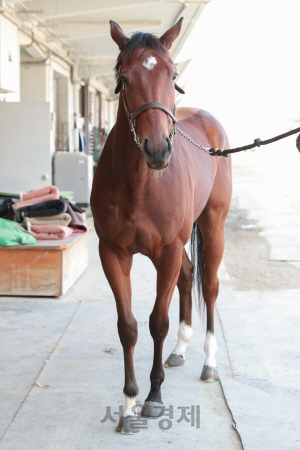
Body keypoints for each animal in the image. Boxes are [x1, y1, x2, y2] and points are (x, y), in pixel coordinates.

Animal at [91, 16, 232, 432]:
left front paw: (154, 398)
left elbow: (157, 322)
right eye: (124, 77)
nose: (157, 149)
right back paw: (180, 350)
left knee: (209, 286)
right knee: (187, 276)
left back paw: (208, 362)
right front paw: (128, 404)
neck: (141, 184)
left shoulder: (166, 251)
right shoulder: (113, 253)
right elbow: (128, 327)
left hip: (213, 226)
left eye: (172, 75)